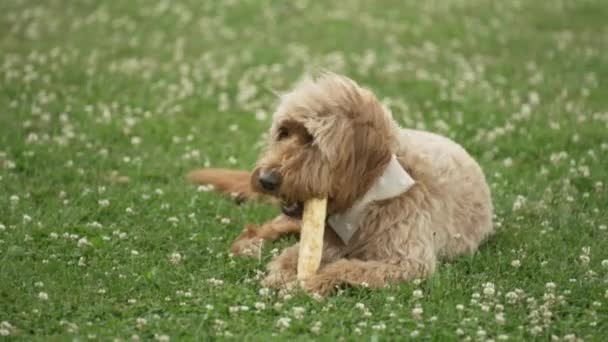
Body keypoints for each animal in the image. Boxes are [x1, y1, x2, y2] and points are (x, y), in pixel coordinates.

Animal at [190, 73, 494, 296]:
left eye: (312, 140)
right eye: (283, 132)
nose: (266, 180)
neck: (370, 195)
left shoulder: (407, 261)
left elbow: (348, 268)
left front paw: (310, 282)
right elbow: (292, 255)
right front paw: (281, 272)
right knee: (266, 227)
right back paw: (249, 243)